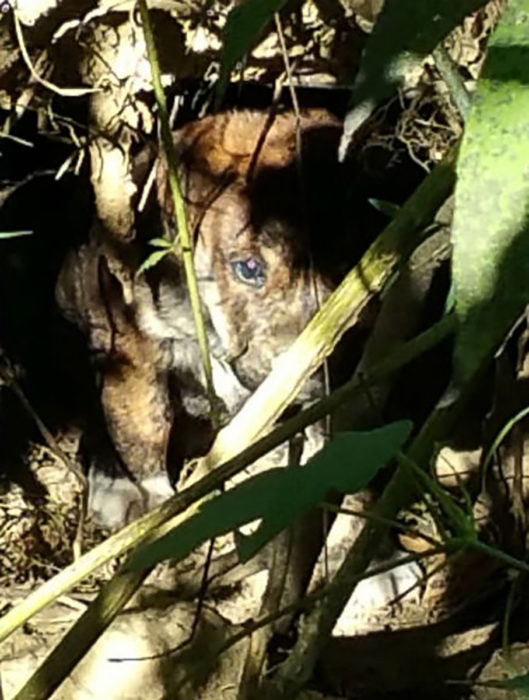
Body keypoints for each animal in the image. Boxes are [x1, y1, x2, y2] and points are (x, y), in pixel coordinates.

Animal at [55, 109, 374, 528]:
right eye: (249, 269)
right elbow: (144, 426)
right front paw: (155, 509)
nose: (310, 381)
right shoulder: (133, 346)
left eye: (344, 268)